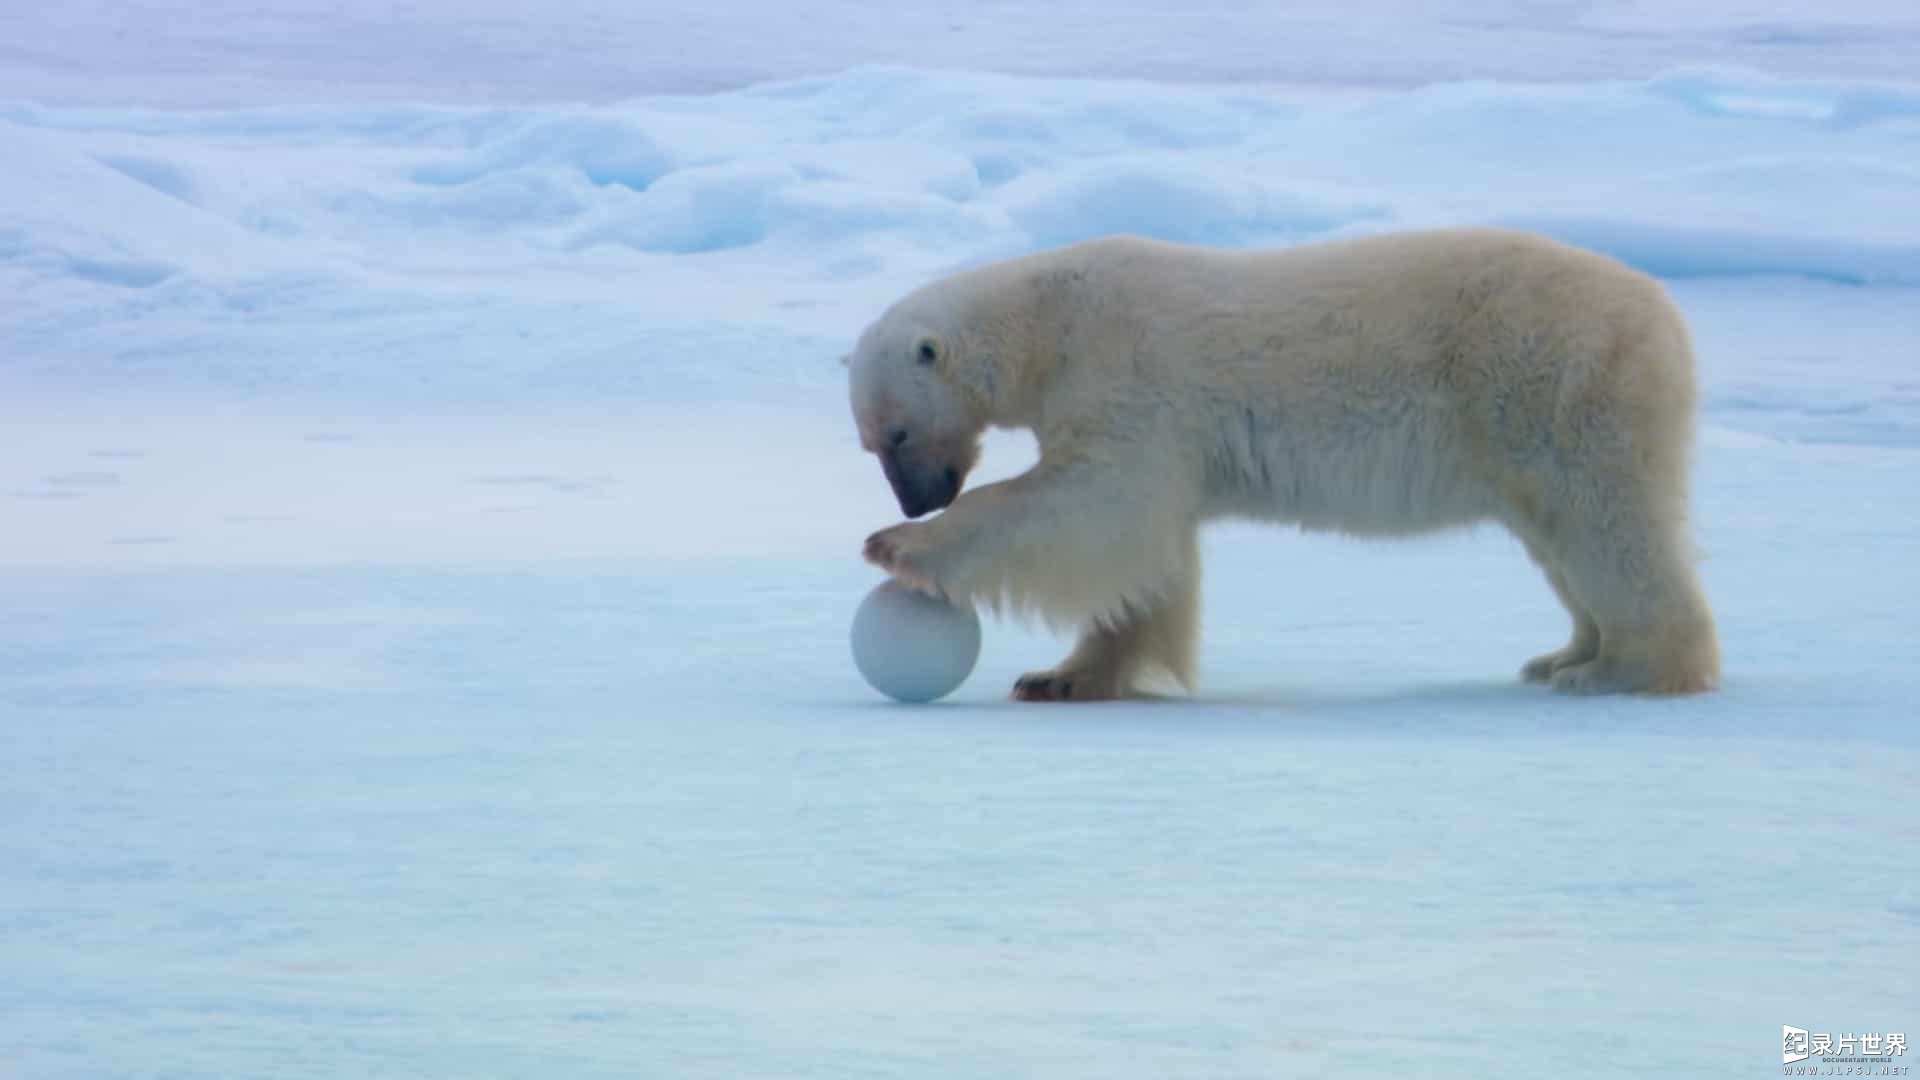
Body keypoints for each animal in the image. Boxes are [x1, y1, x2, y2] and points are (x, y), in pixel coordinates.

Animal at [848, 226, 1720, 699]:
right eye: (871, 440)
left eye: (895, 434)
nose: (916, 501)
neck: (1051, 318)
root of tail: (1663, 312)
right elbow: (1146, 555)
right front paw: (1063, 678)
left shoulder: (1128, 376)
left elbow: (1092, 506)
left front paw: (901, 549)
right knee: (1561, 537)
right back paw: (1564, 654)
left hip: (1559, 382)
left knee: (1607, 524)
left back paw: (1622, 668)